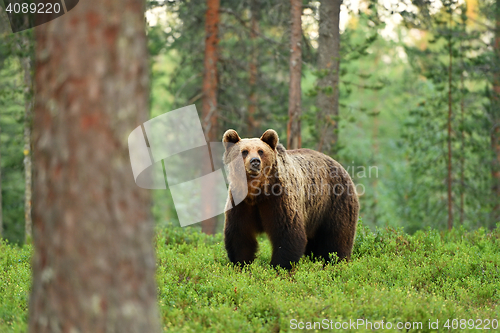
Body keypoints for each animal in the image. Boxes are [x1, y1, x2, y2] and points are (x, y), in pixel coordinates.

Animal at [223, 128, 360, 268]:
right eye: (244, 151)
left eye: (261, 151)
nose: (255, 161)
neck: (257, 192)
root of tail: (340, 166)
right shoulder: (241, 203)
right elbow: (240, 235)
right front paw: (241, 264)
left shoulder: (278, 199)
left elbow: (287, 234)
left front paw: (279, 267)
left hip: (334, 202)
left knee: (337, 237)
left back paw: (336, 262)